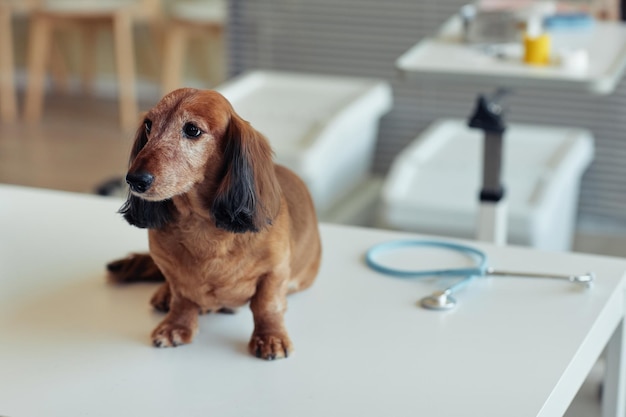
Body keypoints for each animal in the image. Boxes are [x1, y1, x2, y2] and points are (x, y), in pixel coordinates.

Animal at [105, 88, 320, 360]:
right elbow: (182, 298)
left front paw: (270, 336)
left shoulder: (275, 270)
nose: (135, 180)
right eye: (148, 124)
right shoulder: (174, 272)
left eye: (192, 130)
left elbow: (266, 305)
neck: (200, 224)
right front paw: (177, 325)